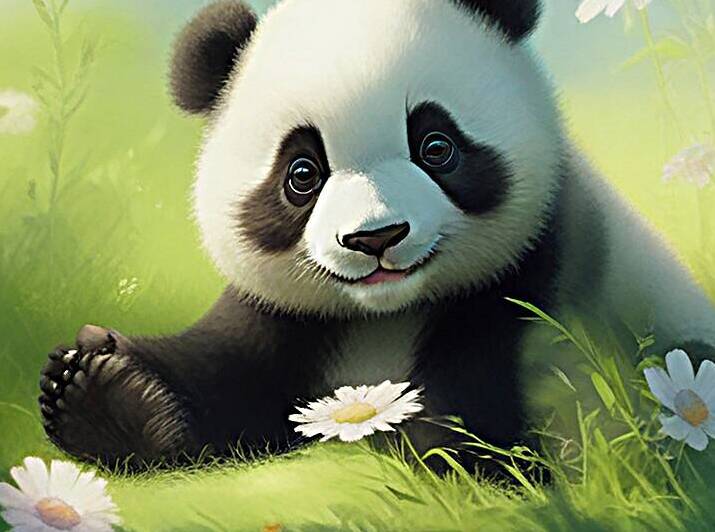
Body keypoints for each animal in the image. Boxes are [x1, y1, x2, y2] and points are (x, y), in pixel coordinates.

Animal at [39, 0, 715, 470]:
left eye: (436, 146)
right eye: (302, 174)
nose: (376, 237)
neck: (384, 315)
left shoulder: (537, 278)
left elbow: (487, 411)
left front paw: (432, 453)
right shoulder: (286, 318)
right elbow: (227, 385)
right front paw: (97, 391)